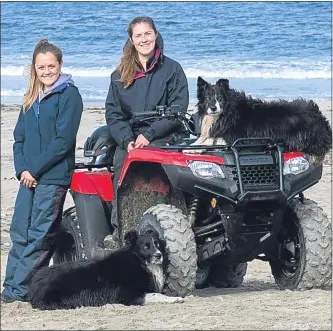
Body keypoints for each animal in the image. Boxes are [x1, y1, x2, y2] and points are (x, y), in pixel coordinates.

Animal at [27, 231, 183, 312]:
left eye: (157, 245)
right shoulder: (127, 295)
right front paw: (176, 299)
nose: (159, 255)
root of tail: (35, 280)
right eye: (145, 246)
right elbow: (156, 295)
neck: (138, 261)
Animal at [188, 77, 330, 162]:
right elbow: (203, 139)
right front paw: (192, 145)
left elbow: (212, 141)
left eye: (220, 98)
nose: (213, 108)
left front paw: (194, 148)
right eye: (208, 98)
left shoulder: (238, 137)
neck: (226, 112)